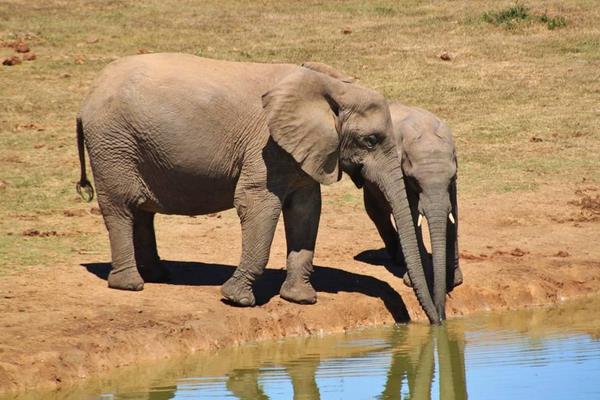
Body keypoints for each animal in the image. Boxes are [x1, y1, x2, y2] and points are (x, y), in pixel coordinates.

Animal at [75, 54, 440, 322]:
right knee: (120, 208)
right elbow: (258, 205)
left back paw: (158, 275)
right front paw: (236, 300)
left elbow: (307, 210)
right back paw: (130, 285)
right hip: (112, 144)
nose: (436, 322)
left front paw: (300, 299)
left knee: (142, 211)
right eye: (371, 140)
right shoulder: (265, 147)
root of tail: (88, 96)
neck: (330, 87)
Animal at [360, 103, 464, 322]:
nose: (440, 317)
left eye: (451, 178)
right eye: (415, 181)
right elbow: (411, 212)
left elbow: (454, 210)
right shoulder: (400, 172)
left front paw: (454, 280)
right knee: (377, 210)